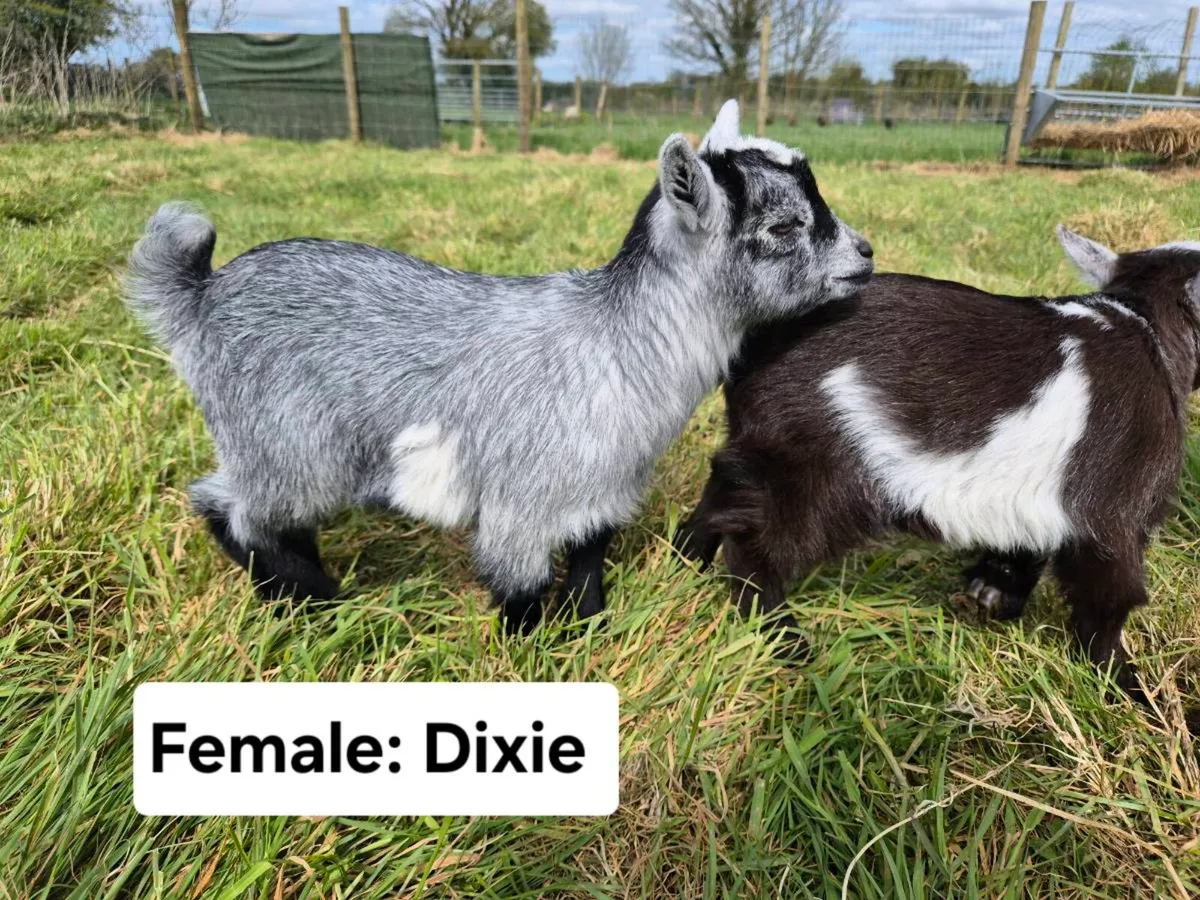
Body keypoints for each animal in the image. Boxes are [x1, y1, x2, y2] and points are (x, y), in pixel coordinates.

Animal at [125, 100, 874, 635]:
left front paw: (586, 630)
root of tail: (199, 296)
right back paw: (311, 601)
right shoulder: (523, 499)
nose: (865, 254)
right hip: (285, 439)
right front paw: (529, 651)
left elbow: (589, 561)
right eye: (783, 227)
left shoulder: (602, 485)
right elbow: (521, 585)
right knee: (230, 508)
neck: (617, 344)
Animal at [675, 226, 1200, 714]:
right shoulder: (1115, 516)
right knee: (753, 544)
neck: (1146, 324)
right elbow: (1108, 605)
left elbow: (1026, 547)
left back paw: (686, 559)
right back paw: (786, 641)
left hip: (766, 446)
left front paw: (991, 595)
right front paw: (1133, 695)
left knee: (723, 490)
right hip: (817, 471)